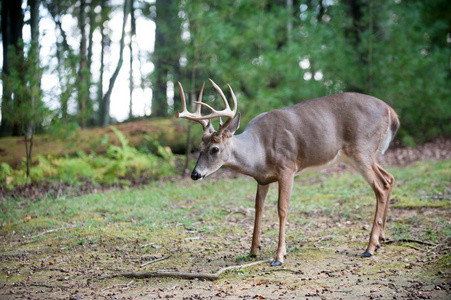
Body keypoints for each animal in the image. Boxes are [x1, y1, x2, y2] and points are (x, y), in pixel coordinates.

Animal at [175, 78, 400, 266]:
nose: (195, 174)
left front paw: (279, 256)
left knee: (380, 186)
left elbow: (282, 209)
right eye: (199, 147)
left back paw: (370, 248)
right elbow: (258, 208)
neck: (259, 151)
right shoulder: (262, 179)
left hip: (361, 148)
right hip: (358, 155)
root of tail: (391, 111)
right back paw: (381, 238)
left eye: (215, 149)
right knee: (389, 178)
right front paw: (253, 251)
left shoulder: (287, 168)